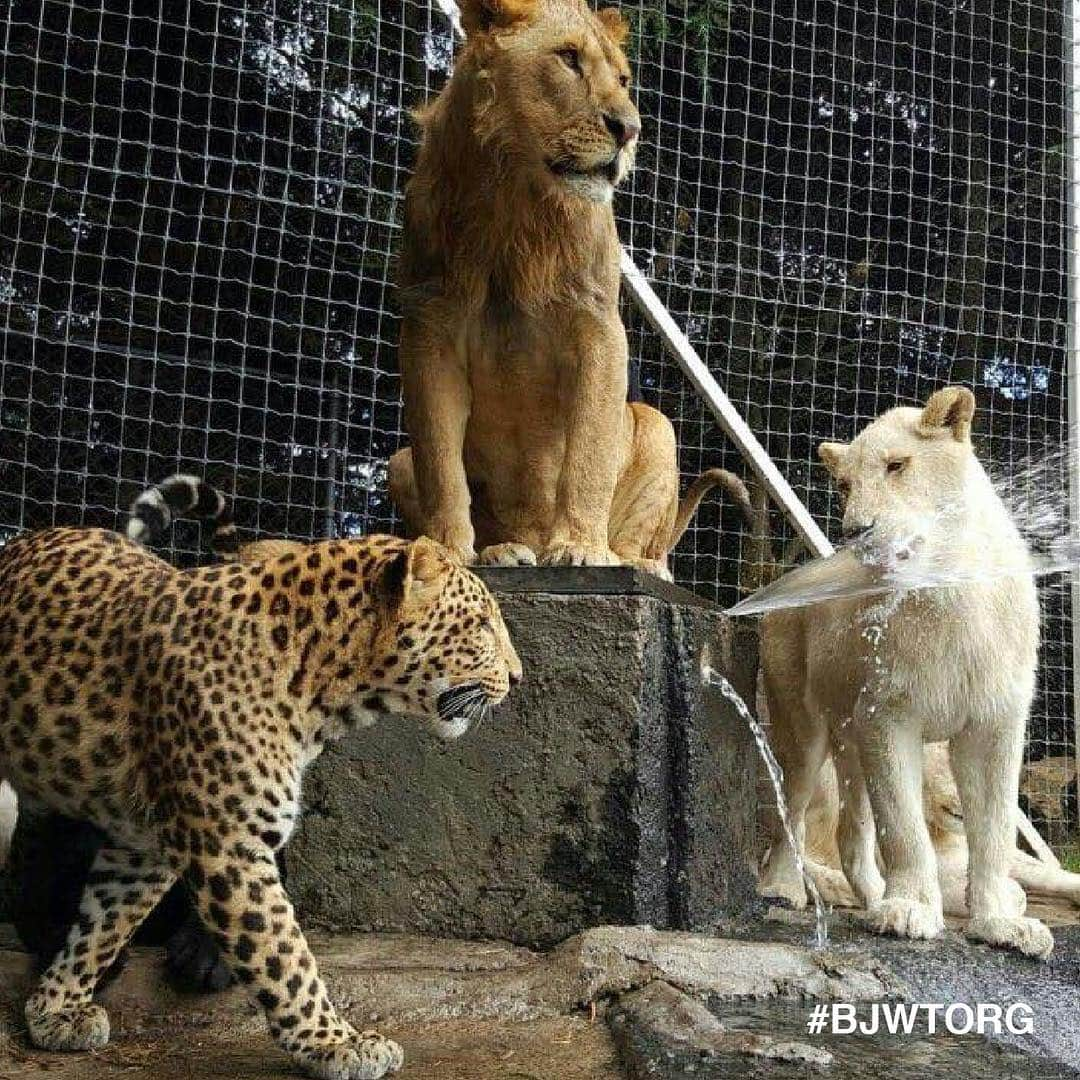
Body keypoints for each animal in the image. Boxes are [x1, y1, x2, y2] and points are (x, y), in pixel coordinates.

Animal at [0, 509, 522, 1075]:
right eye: (482, 624)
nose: (517, 678)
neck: (324, 687)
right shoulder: (227, 844)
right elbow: (284, 956)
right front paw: (337, 1042)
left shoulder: (145, 843)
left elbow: (104, 923)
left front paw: (56, 1008)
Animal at [384, 0, 738, 583]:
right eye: (569, 58)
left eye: (623, 79)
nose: (629, 130)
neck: (514, 199)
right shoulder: (429, 330)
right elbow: (441, 464)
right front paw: (451, 553)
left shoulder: (598, 327)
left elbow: (589, 452)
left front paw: (580, 547)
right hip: (397, 461)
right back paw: (502, 550)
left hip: (658, 426)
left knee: (645, 535)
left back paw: (636, 562)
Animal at [756, 386, 1049, 954]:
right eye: (844, 484)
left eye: (897, 465)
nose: (857, 532)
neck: (949, 589)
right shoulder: (888, 714)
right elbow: (905, 825)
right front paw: (911, 910)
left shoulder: (995, 722)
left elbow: (995, 828)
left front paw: (1002, 923)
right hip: (802, 724)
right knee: (792, 811)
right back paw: (782, 889)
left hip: (849, 735)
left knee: (851, 832)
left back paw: (870, 897)